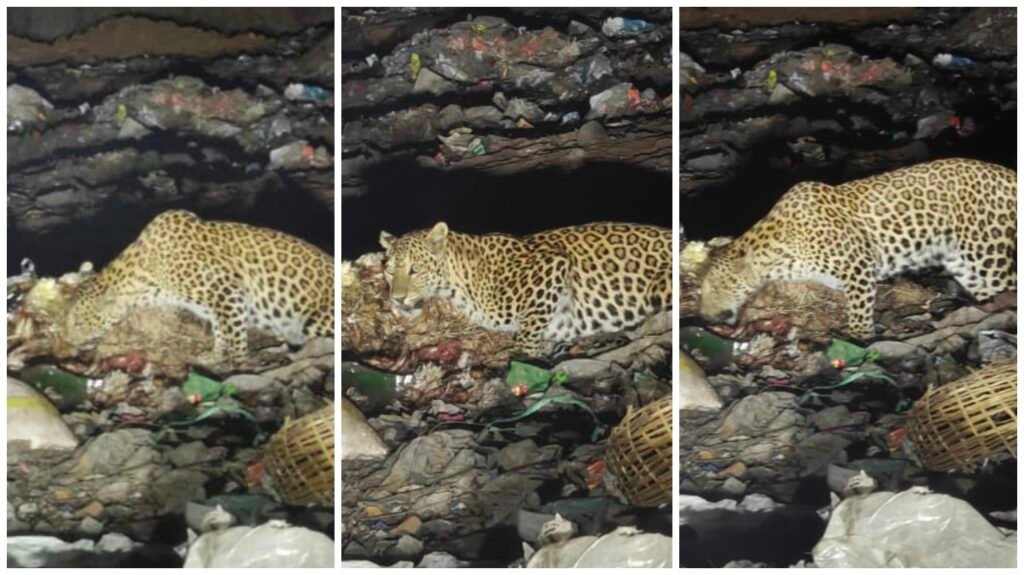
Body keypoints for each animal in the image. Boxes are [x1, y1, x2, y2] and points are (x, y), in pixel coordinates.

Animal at [60, 210, 334, 366]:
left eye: (77, 322)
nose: (69, 343)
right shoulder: (217, 304)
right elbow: (221, 331)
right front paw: (215, 355)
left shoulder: (227, 291)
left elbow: (235, 334)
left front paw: (240, 363)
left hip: (315, 320)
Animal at [379, 221, 672, 358]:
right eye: (389, 270)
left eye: (415, 269)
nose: (397, 299)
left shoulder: (553, 265)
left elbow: (526, 333)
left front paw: (532, 354)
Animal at [699, 157, 1017, 340]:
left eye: (715, 287)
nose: (704, 317)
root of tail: (1009, 174)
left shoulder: (859, 266)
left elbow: (860, 310)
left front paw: (860, 336)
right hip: (965, 264)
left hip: (989, 251)